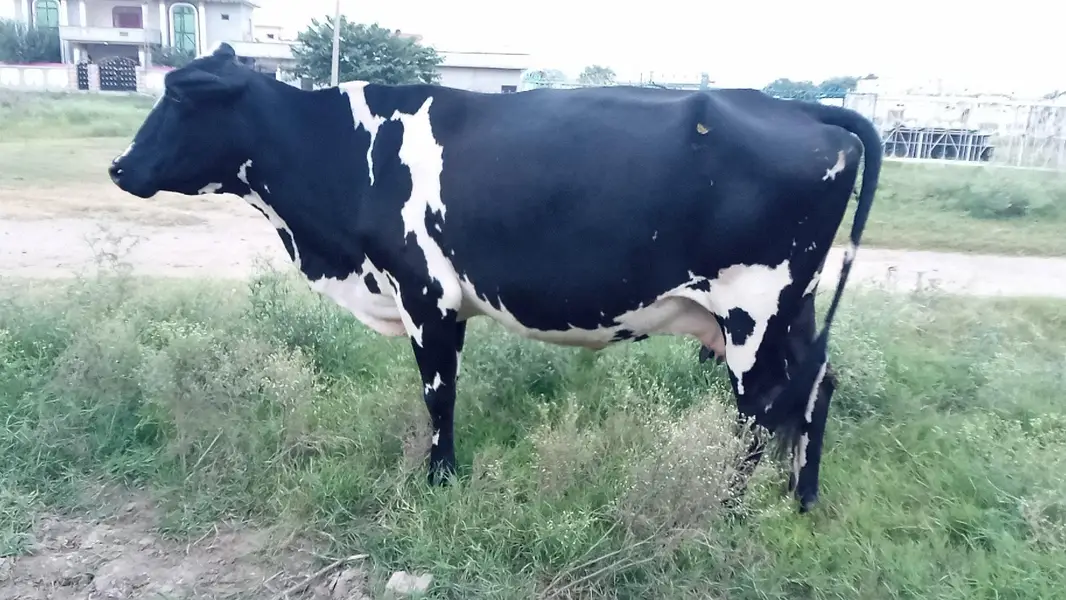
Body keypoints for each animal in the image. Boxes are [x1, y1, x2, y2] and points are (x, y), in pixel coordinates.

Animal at [108, 43, 881, 514]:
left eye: (182, 100)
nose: (119, 167)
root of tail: (797, 105)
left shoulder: (424, 292)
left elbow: (437, 394)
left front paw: (439, 477)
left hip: (755, 306)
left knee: (760, 406)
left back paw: (727, 503)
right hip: (795, 305)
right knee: (817, 385)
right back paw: (801, 495)